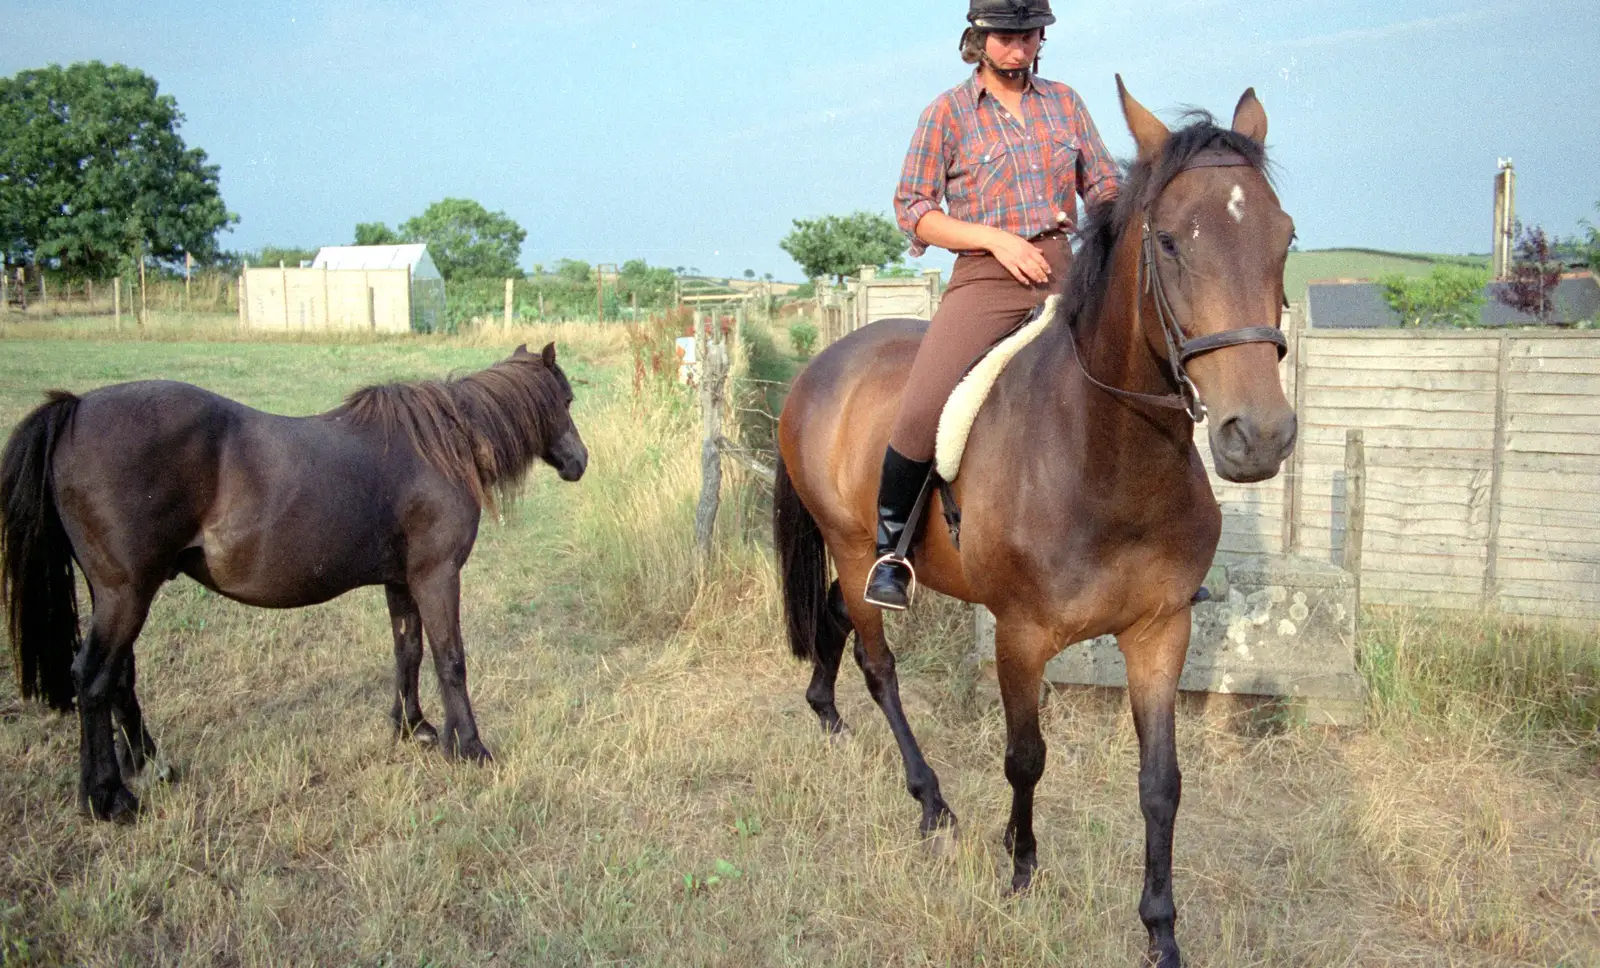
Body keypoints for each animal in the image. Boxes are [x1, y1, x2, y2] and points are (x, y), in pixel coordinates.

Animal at [0, 344, 588, 819]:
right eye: (566, 400)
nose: (579, 462)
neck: (442, 446)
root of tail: (76, 407)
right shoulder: (437, 577)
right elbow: (451, 660)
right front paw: (469, 748)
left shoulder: (402, 582)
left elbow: (409, 652)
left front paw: (412, 727)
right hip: (125, 596)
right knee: (93, 680)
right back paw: (108, 798)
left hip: (120, 596)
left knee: (119, 677)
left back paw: (150, 765)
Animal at [771, 83, 1299, 966]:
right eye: (1168, 241)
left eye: (1284, 235)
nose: (1257, 436)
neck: (1105, 459)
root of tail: (820, 367)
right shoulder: (1020, 636)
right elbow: (1026, 759)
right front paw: (1019, 871)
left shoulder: (1160, 631)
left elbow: (1162, 784)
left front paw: (1161, 931)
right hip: (849, 545)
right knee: (880, 665)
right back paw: (931, 803)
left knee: (840, 617)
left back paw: (826, 713)